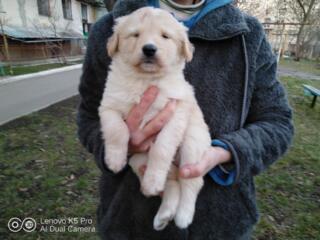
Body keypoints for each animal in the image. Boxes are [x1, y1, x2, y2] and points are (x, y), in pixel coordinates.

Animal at [99, 6, 211, 230]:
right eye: (135, 35)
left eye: (165, 36)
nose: (149, 49)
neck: (146, 80)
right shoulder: (108, 105)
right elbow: (117, 130)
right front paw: (114, 160)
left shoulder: (176, 113)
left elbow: (162, 148)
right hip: (138, 159)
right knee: (173, 182)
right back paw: (162, 211)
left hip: (193, 146)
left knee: (191, 182)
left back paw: (182, 214)